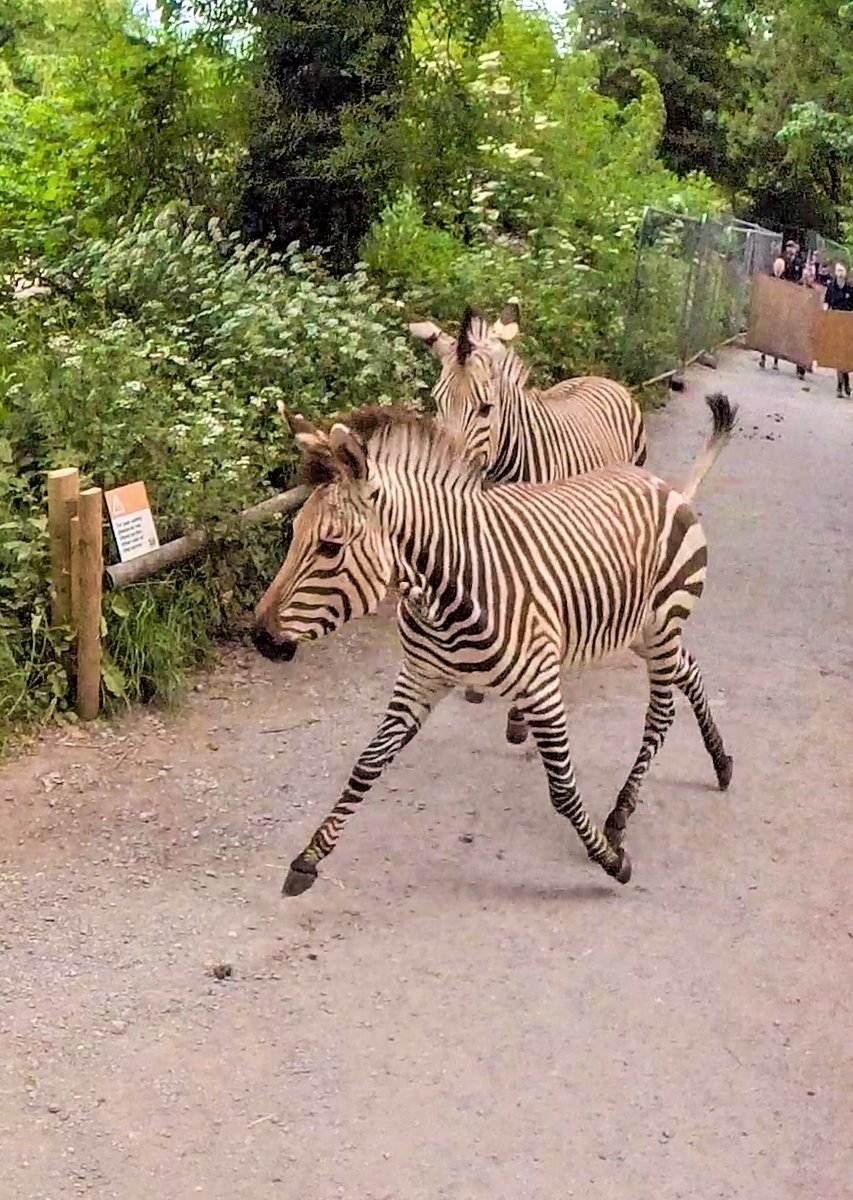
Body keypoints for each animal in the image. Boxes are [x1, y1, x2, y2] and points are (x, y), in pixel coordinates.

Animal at [251, 388, 734, 897]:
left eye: (329, 547)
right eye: (294, 535)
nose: (260, 638)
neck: (445, 593)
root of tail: (666, 487)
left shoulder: (542, 686)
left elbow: (563, 789)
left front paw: (609, 859)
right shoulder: (419, 678)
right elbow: (367, 763)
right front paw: (308, 858)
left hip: (661, 627)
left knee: (661, 713)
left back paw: (622, 812)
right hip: (638, 631)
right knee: (690, 670)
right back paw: (721, 763)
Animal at [412, 302, 647, 739]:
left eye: (485, 408)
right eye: (437, 401)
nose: (441, 470)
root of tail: (606, 379)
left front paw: (519, 719)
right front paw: (475, 683)